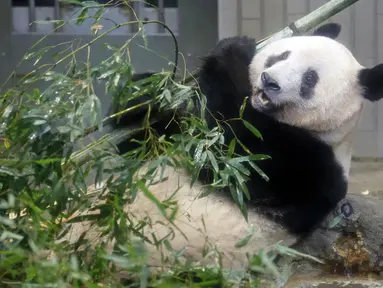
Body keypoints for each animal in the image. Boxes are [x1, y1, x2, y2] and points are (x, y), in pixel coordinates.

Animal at [64, 23, 383, 272]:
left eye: (309, 79)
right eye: (282, 55)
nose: (270, 81)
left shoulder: (309, 168)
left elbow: (235, 160)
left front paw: (234, 53)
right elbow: (149, 141)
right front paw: (147, 93)